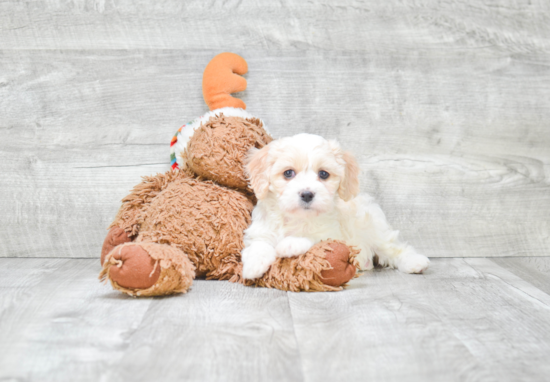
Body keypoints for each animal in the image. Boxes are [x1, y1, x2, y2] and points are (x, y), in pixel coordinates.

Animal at [242, 133, 432, 280]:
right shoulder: (260, 230)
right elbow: (259, 244)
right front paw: (253, 265)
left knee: (394, 248)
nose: (307, 194)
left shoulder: (333, 235)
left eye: (323, 174)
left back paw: (415, 262)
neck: (296, 218)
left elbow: (314, 237)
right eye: (288, 173)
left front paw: (290, 244)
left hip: (376, 230)